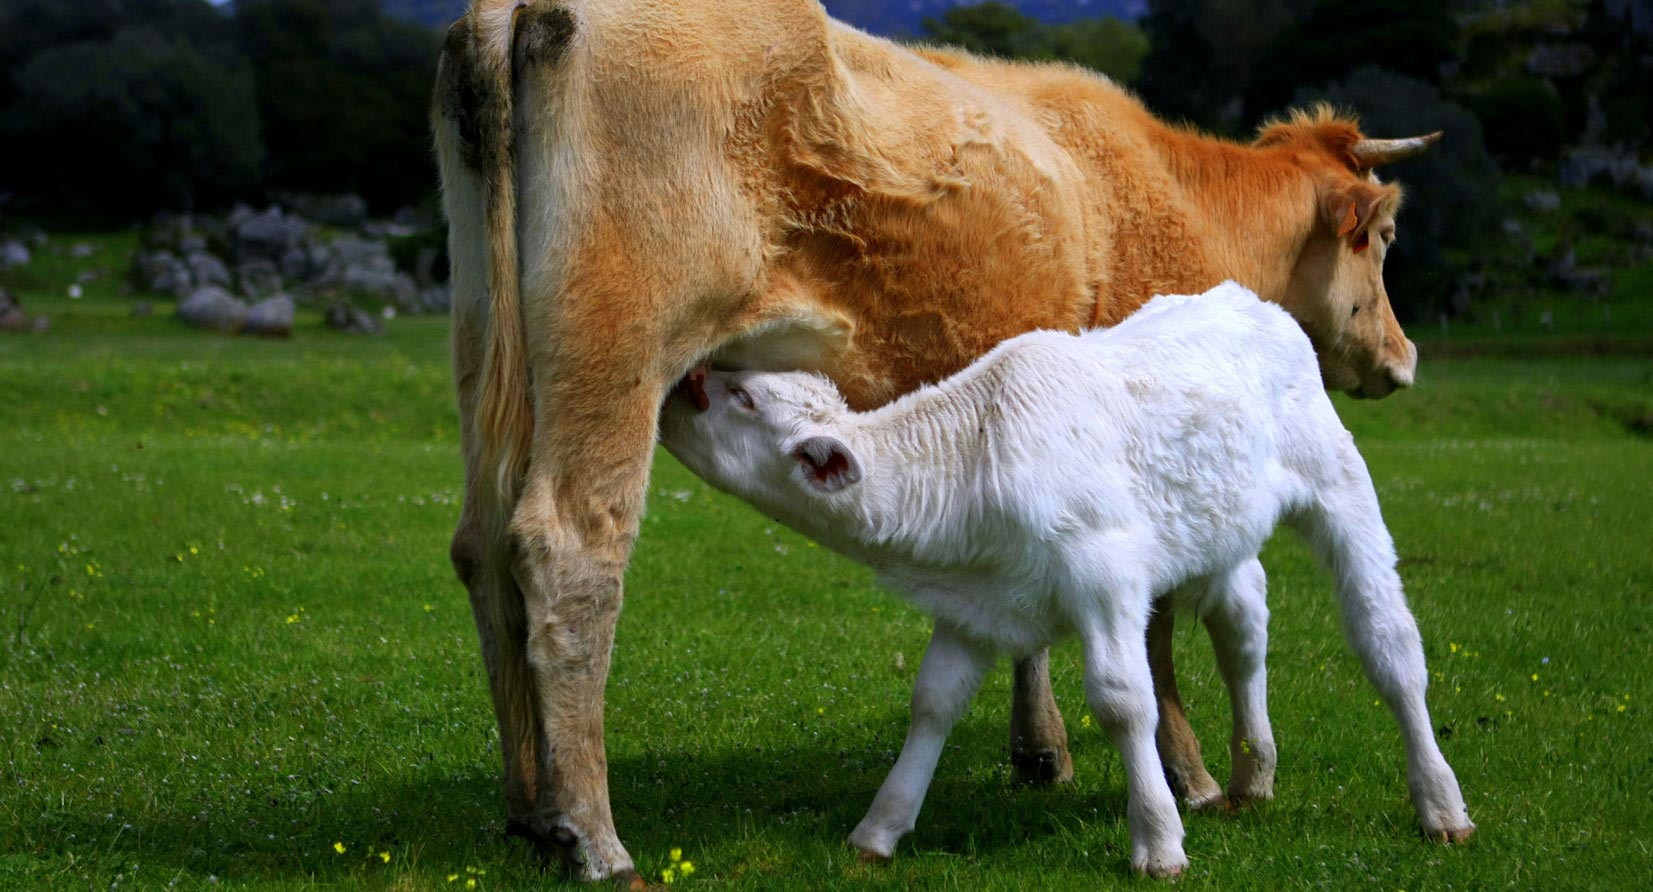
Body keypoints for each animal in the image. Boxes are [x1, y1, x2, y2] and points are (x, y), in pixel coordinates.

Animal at [657, 282, 1474, 872]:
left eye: (742, 397)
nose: (673, 389)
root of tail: (1248, 299)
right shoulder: (975, 605)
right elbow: (932, 703)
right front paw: (879, 829)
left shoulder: (1105, 578)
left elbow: (1123, 702)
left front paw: (1158, 840)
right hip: (1221, 531)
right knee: (1242, 632)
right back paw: (1253, 774)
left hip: (1340, 484)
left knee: (1389, 644)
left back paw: (1439, 804)